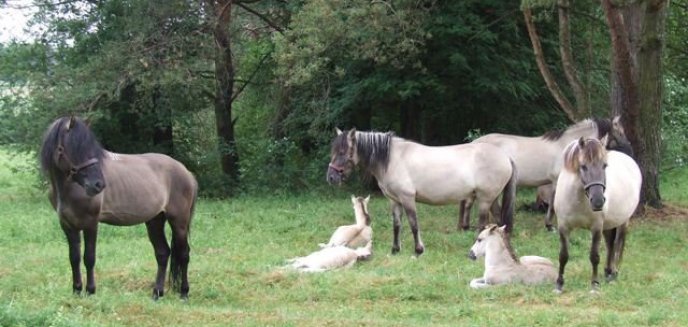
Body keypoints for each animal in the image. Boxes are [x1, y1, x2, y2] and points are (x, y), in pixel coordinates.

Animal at [40, 116, 198, 302]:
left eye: (90, 149)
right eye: (70, 148)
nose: (98, 185)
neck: (69, 189)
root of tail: (186, 172)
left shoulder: (91, 223)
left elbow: (89, 257)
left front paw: (90, 291)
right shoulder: (67, 225)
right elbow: (74, 258)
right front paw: (77, 290)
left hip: (179, 221)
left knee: (184, 254)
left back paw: (184, 292)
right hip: (155, 220)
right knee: (163, 253)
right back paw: (157, 293)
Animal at [328, 128, 516, 256]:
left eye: (343, 152)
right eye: (333, 151)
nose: (330, 177)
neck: (393, 159)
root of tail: (506, 156)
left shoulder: (407, 199)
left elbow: (413, 224)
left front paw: (418, 250)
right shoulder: (394, 200)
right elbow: (397, 225)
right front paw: (395, 249)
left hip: (485, 199)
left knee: (484, 223)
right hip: (491, 199)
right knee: (498, 221)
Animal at [470, 117, 632, 231]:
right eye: (619, 133)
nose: (630, 151)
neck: (567, 148)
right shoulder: (556, 181)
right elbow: (554, 203)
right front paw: (550, 225)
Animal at [552, 137, 644, 294]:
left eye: (604, 166)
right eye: (583, 166)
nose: (598, 201)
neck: (578, 199)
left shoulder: (596, 227)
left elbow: (594, 256)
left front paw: (594, 285)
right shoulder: (563, 226)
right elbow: (563, 255)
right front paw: (559, 284)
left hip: (623, 221)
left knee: (617, 244)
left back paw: (613, 274)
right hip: (608, 225)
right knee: (610, 245)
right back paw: (607, 272)